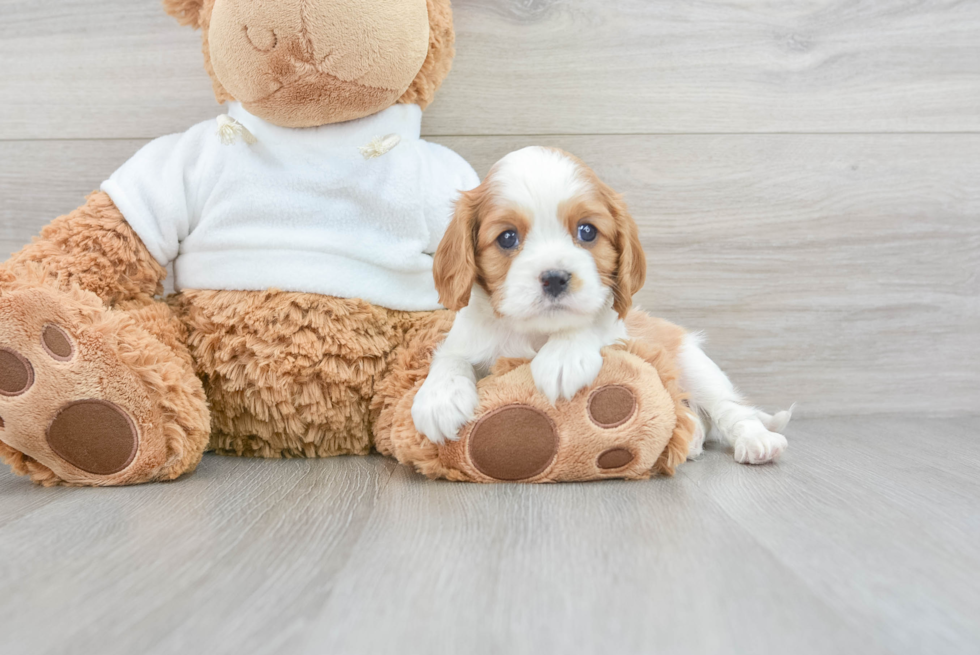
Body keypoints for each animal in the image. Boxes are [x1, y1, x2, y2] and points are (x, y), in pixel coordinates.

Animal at [412, 148, 788, 464]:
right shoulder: (468, 340)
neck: (535, 332)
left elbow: (592, 324)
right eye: (507, 237)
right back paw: (693, 437)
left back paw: (756, 441)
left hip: (695, 365)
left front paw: (563, 357)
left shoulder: (621, 333)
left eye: (587, 231)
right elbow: (451, 357)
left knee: (730, 409)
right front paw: (439, 398)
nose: (555, 278)